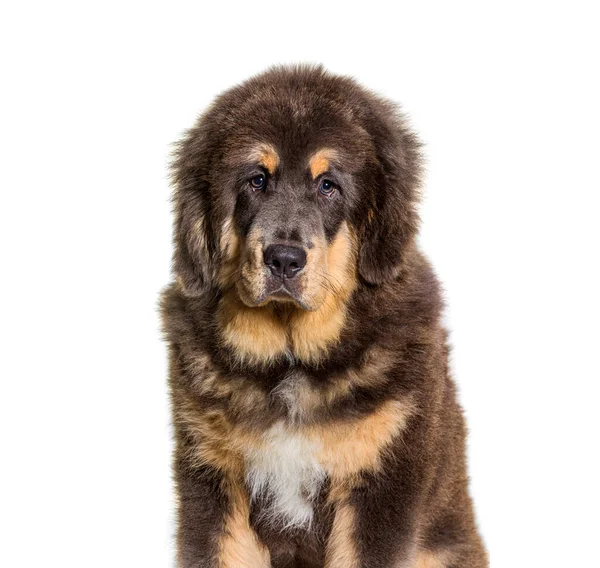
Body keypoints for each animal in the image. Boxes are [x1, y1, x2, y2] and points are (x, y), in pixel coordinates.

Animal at [163, 64, 488, 564]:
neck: (289, 363)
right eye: (257, 180)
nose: (283, 259)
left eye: (327, 186)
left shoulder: (379, 480)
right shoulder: (213, 477)